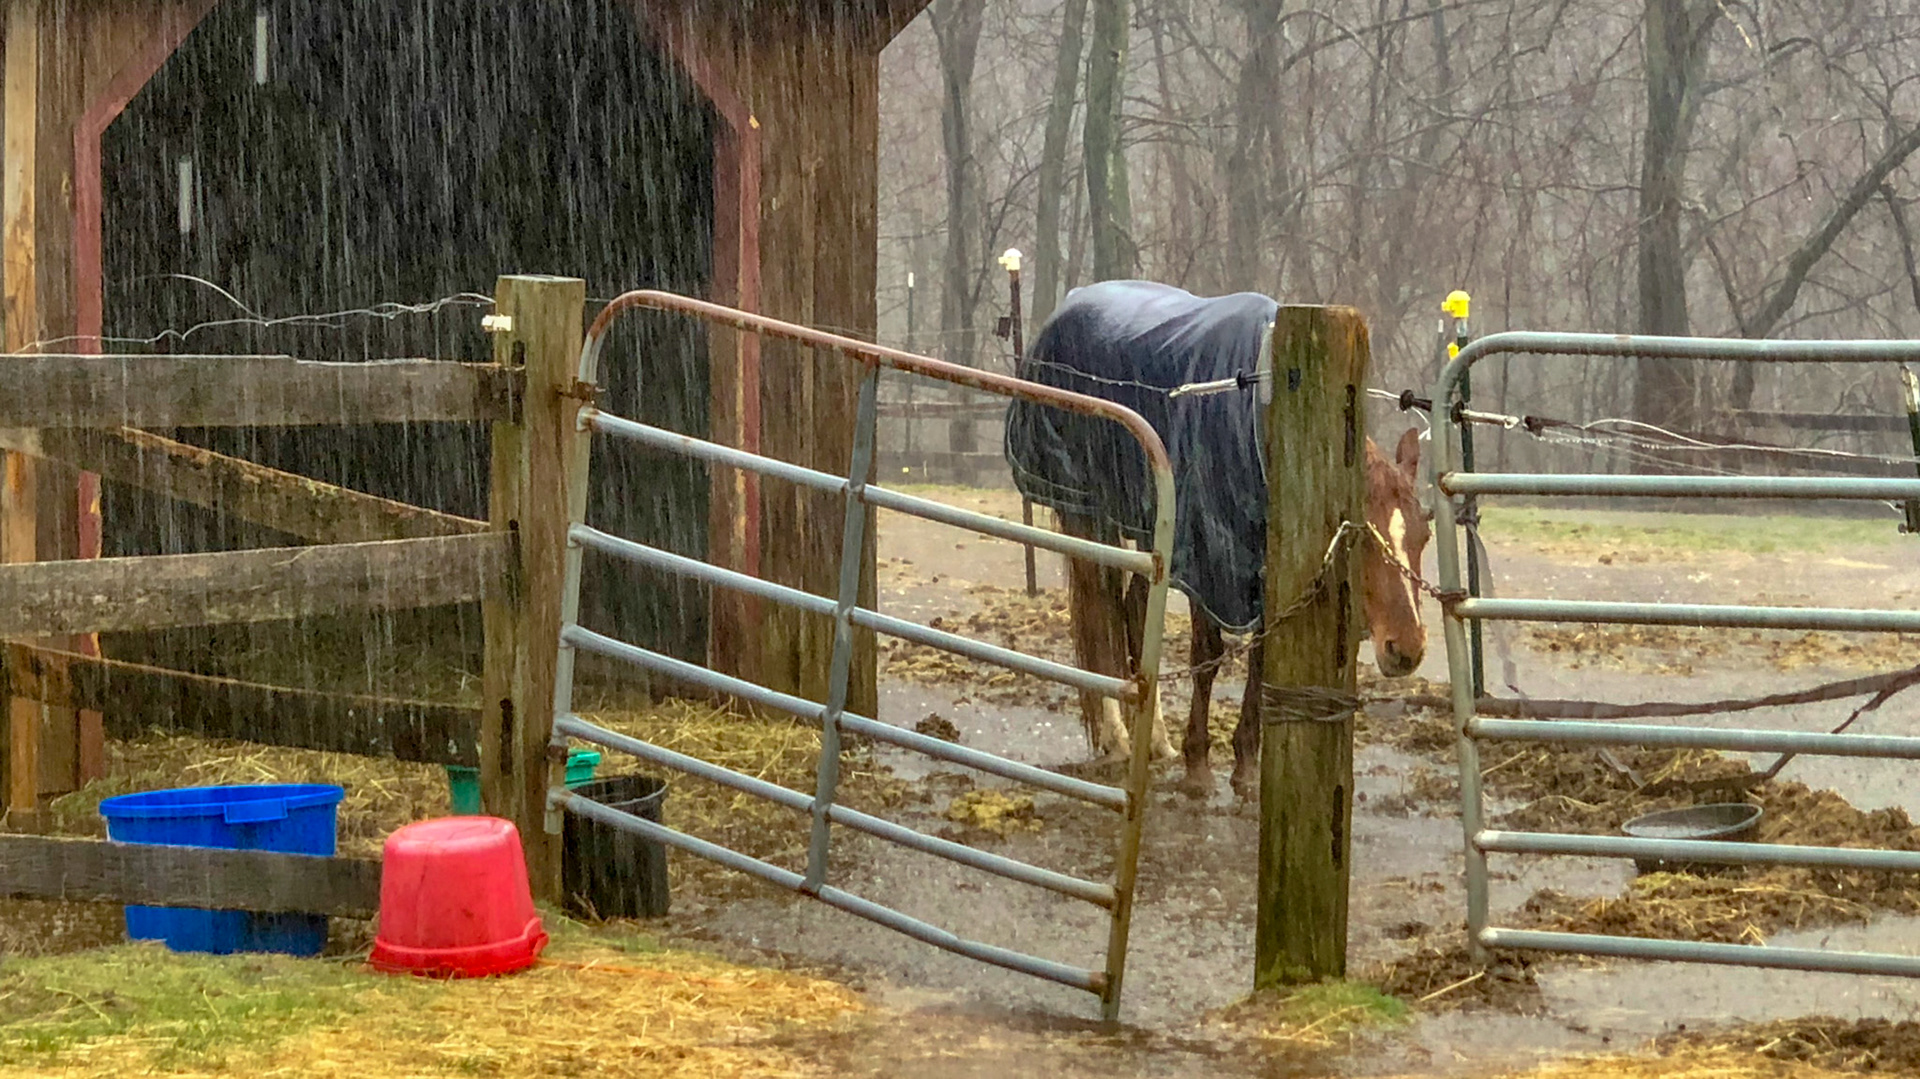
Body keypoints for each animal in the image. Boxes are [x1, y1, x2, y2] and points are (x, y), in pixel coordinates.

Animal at [1005, 280, 1431, 795]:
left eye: (1425, 534)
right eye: (1359, 537)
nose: (1406, 650)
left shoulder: (1264, 569)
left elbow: (1261, 659)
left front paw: (1245, 766)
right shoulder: (1204, 561)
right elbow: (1207, 654)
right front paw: (1198, 765)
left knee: (1132, 610)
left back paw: (1155, 740)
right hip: (1088, 516)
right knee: (1100, 612)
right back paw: (1119, 738)